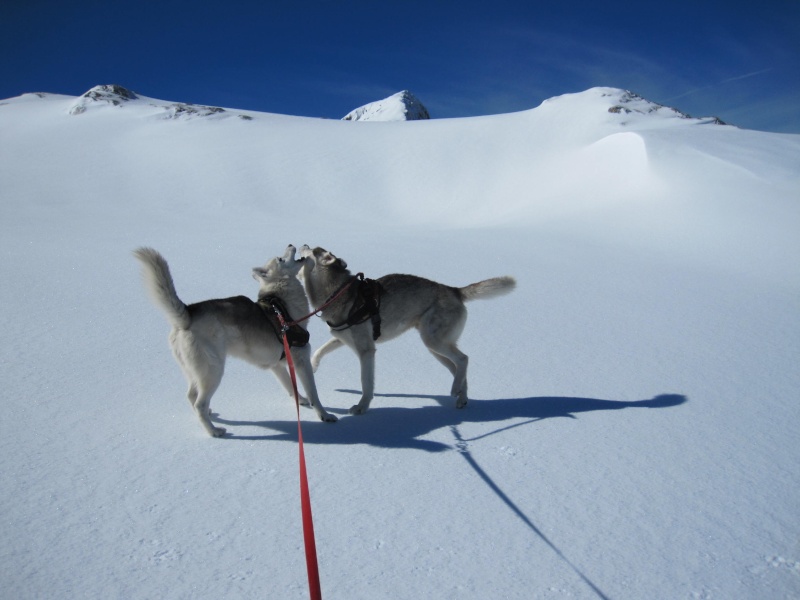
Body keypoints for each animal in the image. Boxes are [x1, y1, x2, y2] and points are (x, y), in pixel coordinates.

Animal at [134, 244, 338, 436]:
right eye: (280, 258)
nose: (290, 244)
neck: (282, 304)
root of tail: (188, 313)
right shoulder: (302, 360)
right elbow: (314, 394)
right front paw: (324, 415)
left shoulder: (276, 365)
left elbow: (291, 386)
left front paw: (301, 401)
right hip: (213, 371)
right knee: (199, 403)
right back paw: (214, 431)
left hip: (195, 371)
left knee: (191, 396)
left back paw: (210, 417)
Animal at [296, 246, 516, 414]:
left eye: (312, 249)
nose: (302, 244)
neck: (337, 293)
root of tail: (454, 290)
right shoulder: (341, 339)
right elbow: (320, 350)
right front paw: (313, 367)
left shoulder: (366, 351)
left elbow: (366, 383)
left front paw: (362, 407)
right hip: (435, 347)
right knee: (457, 368)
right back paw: (462, 398)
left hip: (434, 341)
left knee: (464, 359)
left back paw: (456, 390)